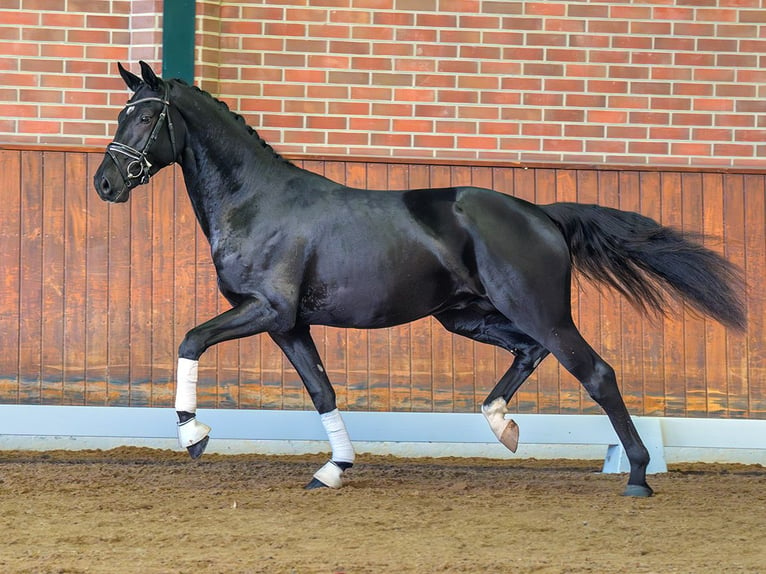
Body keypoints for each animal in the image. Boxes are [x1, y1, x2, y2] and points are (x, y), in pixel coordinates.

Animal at [93, 60, 748, 498]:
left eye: (147, 116)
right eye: (121, 114)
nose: (105, 183)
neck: (255, 203)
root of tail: (543, 213)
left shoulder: (267, 311)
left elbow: (190, 340)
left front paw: (194, 435)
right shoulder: (290, 325)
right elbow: (322, 391)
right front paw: (334, 469)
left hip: (538, 310)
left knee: (596, 373)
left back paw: (636, 475)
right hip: (465, 315)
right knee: (530, 352)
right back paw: (503, 426)